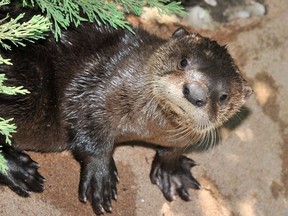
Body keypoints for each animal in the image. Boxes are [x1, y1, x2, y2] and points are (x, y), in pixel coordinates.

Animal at [0, 20, 252, 214]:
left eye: (223, 96)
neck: (147, 127)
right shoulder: (99, 83)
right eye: (183, 61)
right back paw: (18, 168)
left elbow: (174, 150)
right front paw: (100, 176)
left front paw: (173, 172)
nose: (195, 93)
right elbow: (87, 120)